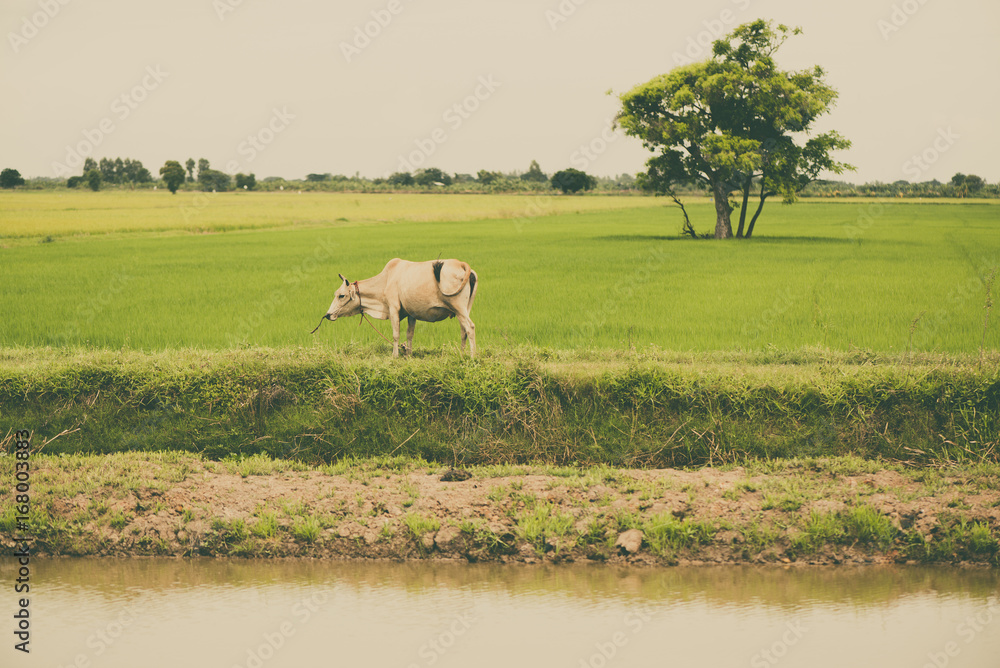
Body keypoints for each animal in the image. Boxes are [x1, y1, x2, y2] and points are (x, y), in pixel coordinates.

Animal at [315, 258, 478, 358]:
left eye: (341, 295)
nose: (328, 315)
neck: (386, 279)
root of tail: (461, 264)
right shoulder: (412, 314)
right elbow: (409, 334)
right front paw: (408, 354)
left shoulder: (393, 308)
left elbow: (395, 334)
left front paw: (395, 355)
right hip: (463, 310)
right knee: (463, 331)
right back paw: (462, 354)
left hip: (458, 308)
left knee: (470, 327)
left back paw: (472, 356)